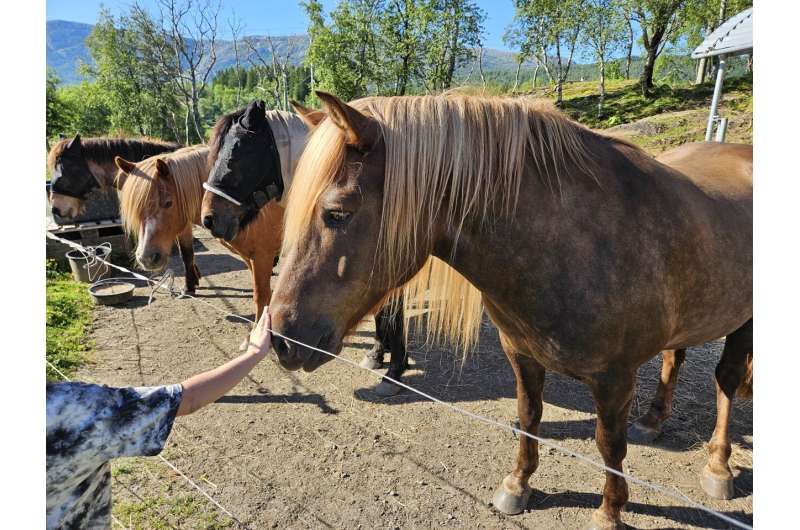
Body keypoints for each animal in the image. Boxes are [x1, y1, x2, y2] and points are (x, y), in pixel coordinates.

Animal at [268, 92, 752, 530]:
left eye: (337, 213)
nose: (280, 337)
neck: (571, 239)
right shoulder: (521, 353)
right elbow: (528, 416)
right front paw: (518, 485)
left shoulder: (615, 377)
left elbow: (608, 444)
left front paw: (610, 511)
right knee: (675, 356)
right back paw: (652, 421)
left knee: (726, 380)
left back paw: (718, 466)